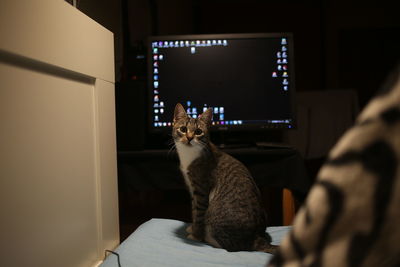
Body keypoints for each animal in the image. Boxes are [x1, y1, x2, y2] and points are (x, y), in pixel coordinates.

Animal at [172, 103, 278, 255]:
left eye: (198, 131)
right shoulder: (192, 189)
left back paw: (208, 238)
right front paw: (192, 228)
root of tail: (255, 238)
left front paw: (196, 235)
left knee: (230, 246)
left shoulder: (201, 189)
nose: (189, 138)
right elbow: (193, 210)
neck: (189, 155)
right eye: (183, 129)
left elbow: (198, 213)